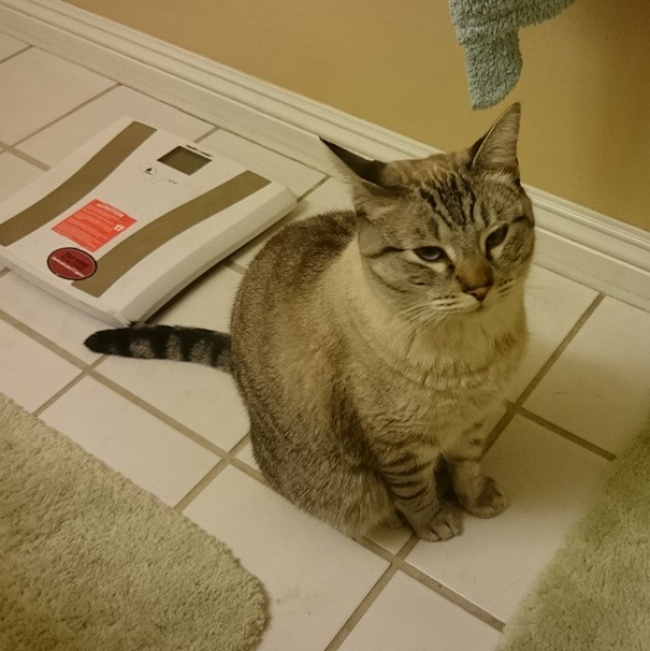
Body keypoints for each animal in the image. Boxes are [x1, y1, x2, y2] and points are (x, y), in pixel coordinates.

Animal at [85, 103, 535, 542]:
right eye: (429, 254)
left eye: (495, 238)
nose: (480, 287)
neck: (474, 350)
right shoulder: (397, 447)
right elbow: (415, 491)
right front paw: (435, 524)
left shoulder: (474, 421)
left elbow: (467, 466)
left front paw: (478, 501)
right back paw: (392, 519)